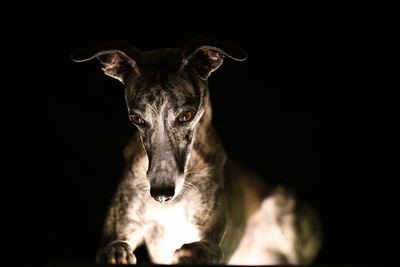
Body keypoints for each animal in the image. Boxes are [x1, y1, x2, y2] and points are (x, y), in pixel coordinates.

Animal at [71, 36, 322, 266]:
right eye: (137, 119)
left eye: (186, 116)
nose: (161, 195)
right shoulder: (123, 225)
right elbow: (112, 246)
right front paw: (118, 254)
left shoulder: (210, 239)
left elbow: (205, 248)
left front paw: (191, 254)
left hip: (283, 202)